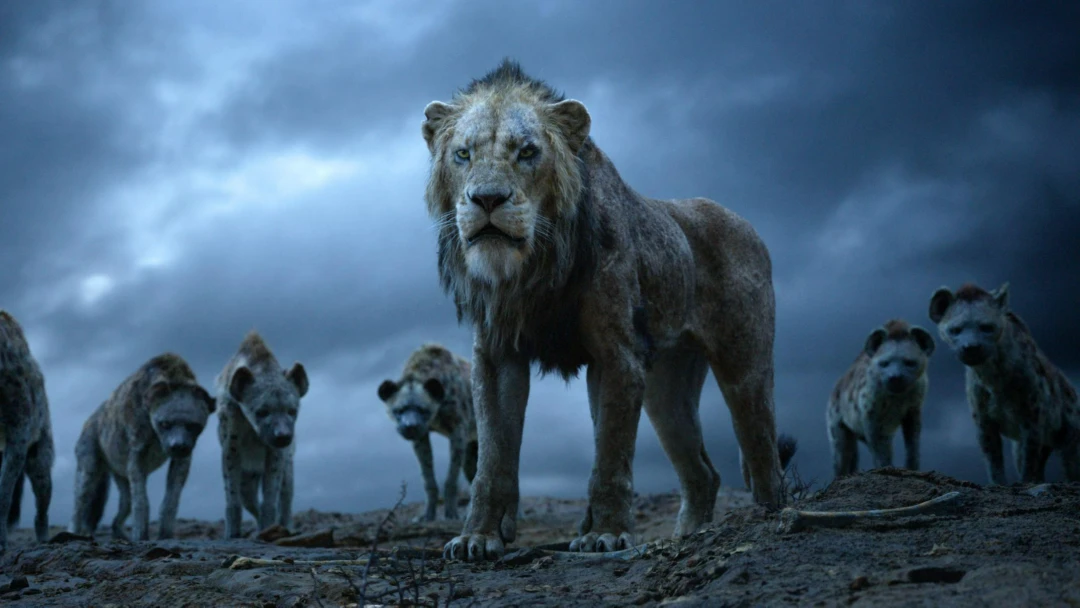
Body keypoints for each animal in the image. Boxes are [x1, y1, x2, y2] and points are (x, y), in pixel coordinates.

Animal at [422, 59, 793, 562]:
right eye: (462, 154)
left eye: (527, 152)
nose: (487, 199)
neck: (533, 267)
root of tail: (748, 225)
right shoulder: (497, 356)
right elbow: (493, 457)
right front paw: (478, 537)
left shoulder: (617, 354)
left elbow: (611, 452)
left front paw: (606, 534)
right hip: (665, 389)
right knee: (703, 473)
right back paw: (687, 536)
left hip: (743, 364)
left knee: (761, 447)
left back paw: (769, 519)